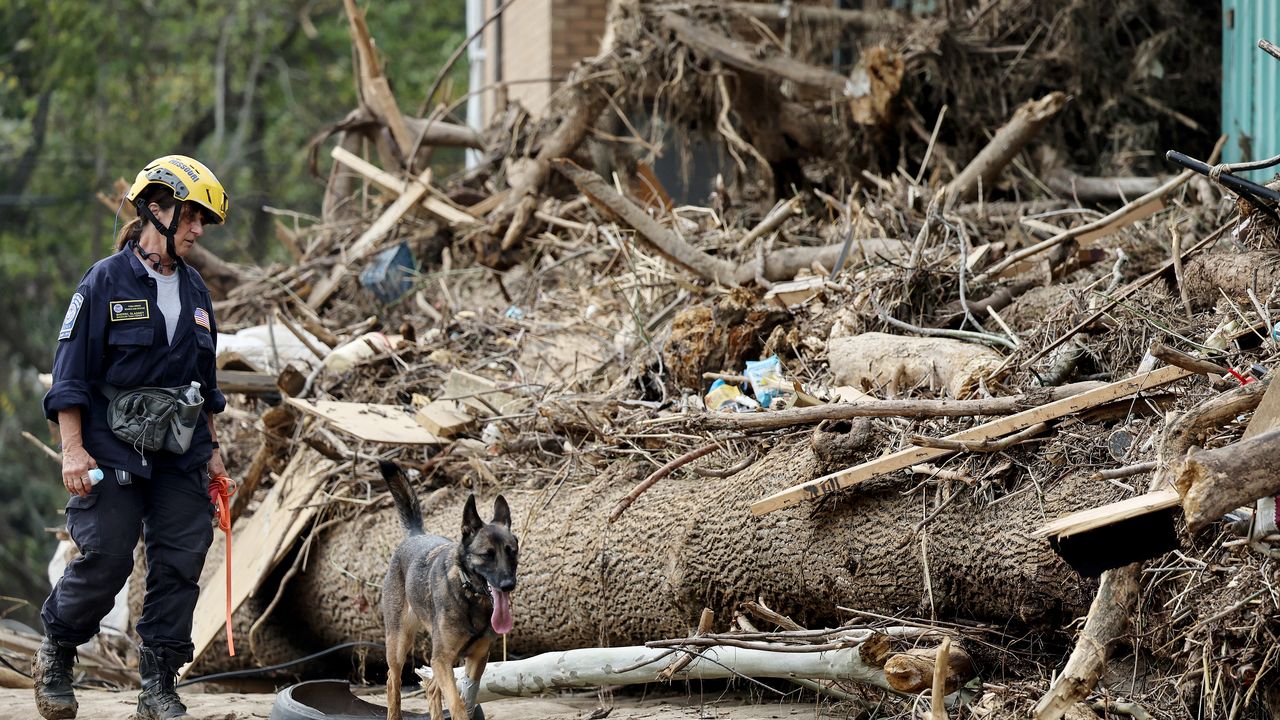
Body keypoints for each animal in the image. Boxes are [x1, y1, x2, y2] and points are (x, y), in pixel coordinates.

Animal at [376, 458, 517, 717]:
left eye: (512, 552)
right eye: (487, 555)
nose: (507, 585)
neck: (469, 596)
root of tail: (415, 535)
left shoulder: (476, 658)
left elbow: (465, 698)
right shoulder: (441, 659)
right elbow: (457, 704)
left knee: (431, 687)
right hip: (399, 643)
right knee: (393, 681)